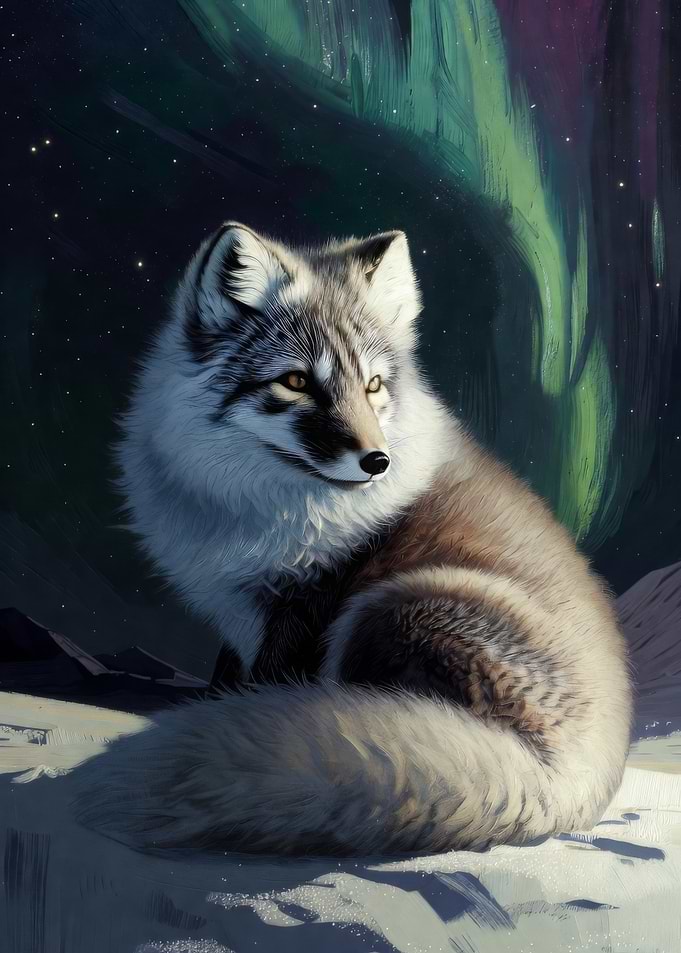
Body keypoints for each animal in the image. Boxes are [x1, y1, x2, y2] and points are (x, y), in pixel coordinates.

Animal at [75, 222, 632, 856]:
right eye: (296, 382)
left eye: (373, 385)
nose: (377, 462)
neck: (261, 507)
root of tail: (564, 786)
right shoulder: (242, 621)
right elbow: (223, 689)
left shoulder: (302, 611)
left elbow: (255, 690)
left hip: (387, 610)